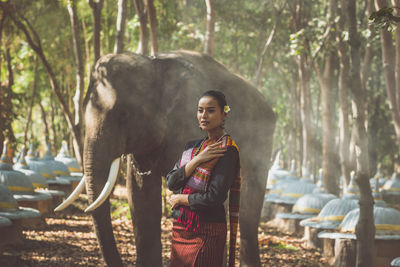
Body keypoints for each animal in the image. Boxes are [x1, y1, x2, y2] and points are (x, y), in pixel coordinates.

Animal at [56, 50, 276, 267]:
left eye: (124, 115)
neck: (155, 65)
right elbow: (140, 195)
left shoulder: (187, 119)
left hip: (263, 143)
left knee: (248, 207)